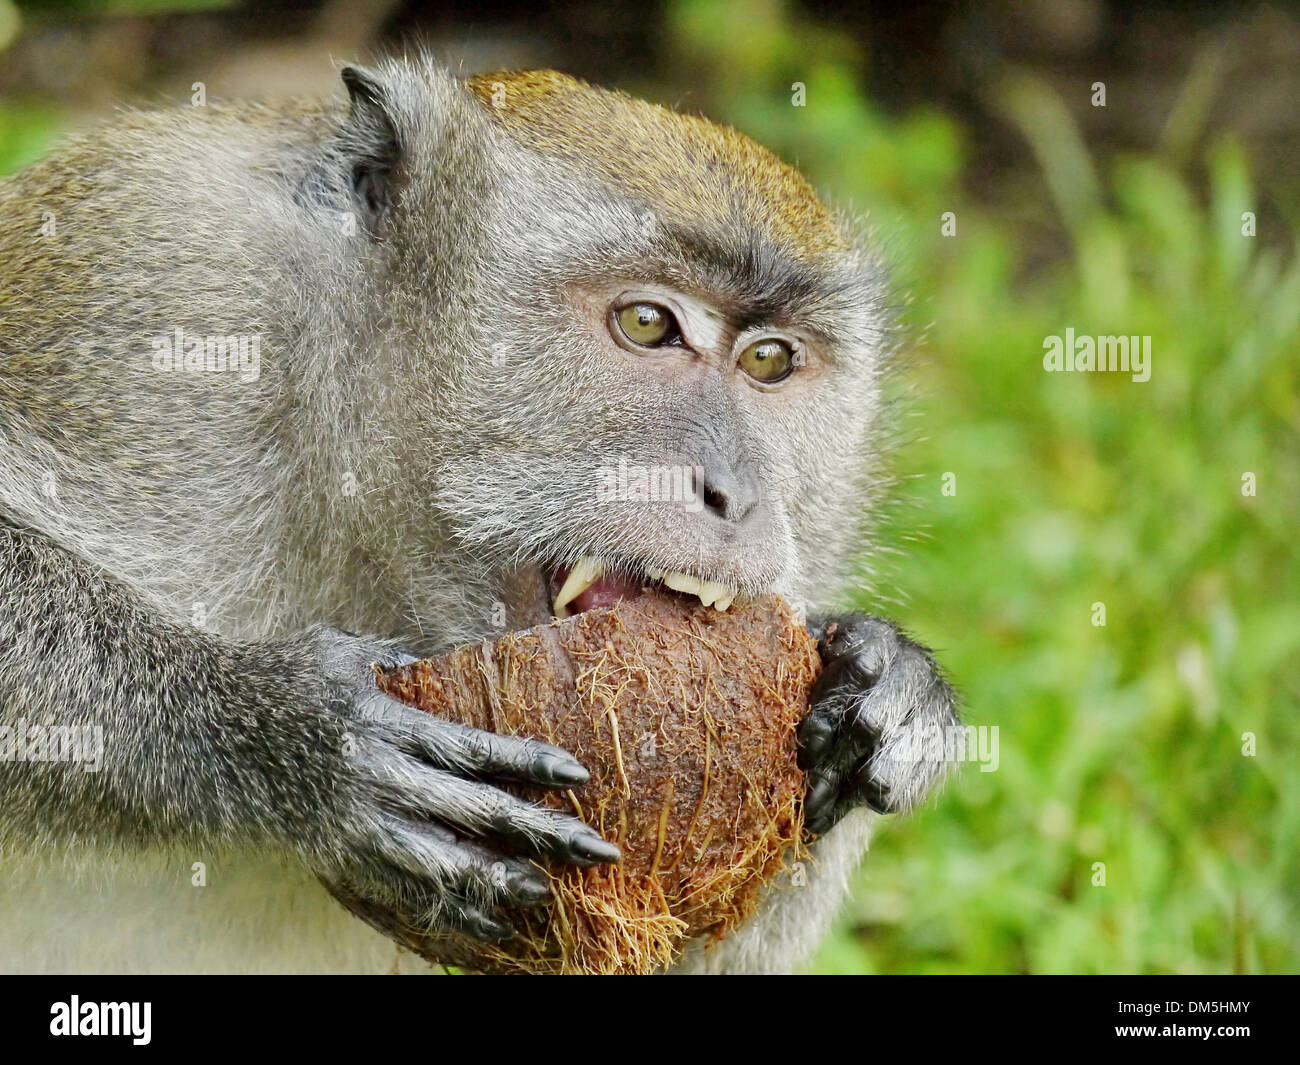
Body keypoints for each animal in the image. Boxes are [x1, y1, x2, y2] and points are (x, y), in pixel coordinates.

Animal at [0, 57, 958, 974]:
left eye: (769, 359)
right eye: (649, 323)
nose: (734, 494)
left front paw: (885, 682)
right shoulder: (151, 264)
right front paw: (301, 731)